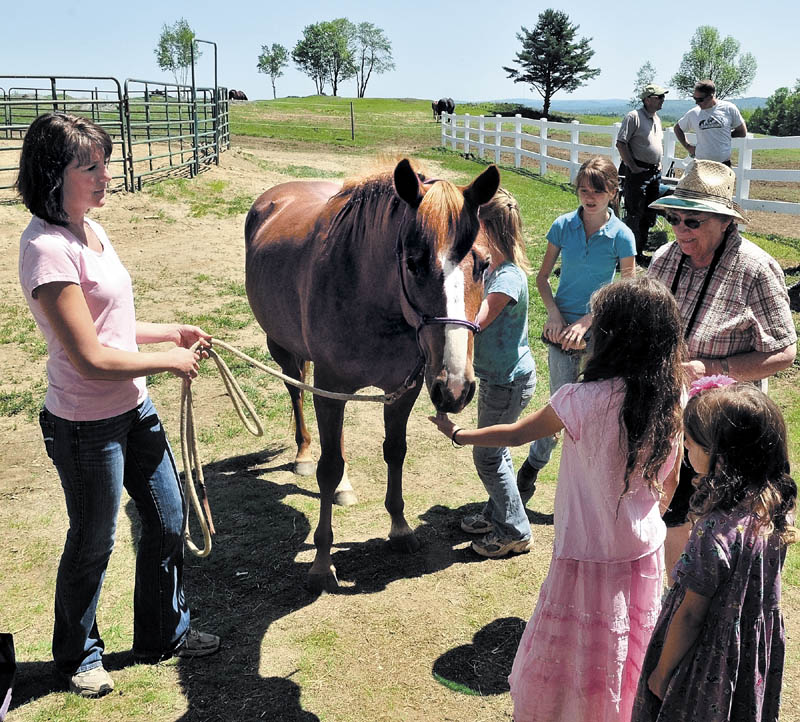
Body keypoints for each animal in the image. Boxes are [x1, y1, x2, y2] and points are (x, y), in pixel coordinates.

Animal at [245, 159, 500, 591]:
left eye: (482, 265)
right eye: (413, 262)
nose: (455, 388)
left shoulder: (403, 390)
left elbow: (394, 452)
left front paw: (399, 529)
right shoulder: (329, 388)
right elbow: (328, 468)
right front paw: (321, 562)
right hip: (282, 350)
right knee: (296, 396)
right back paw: (303, 454)